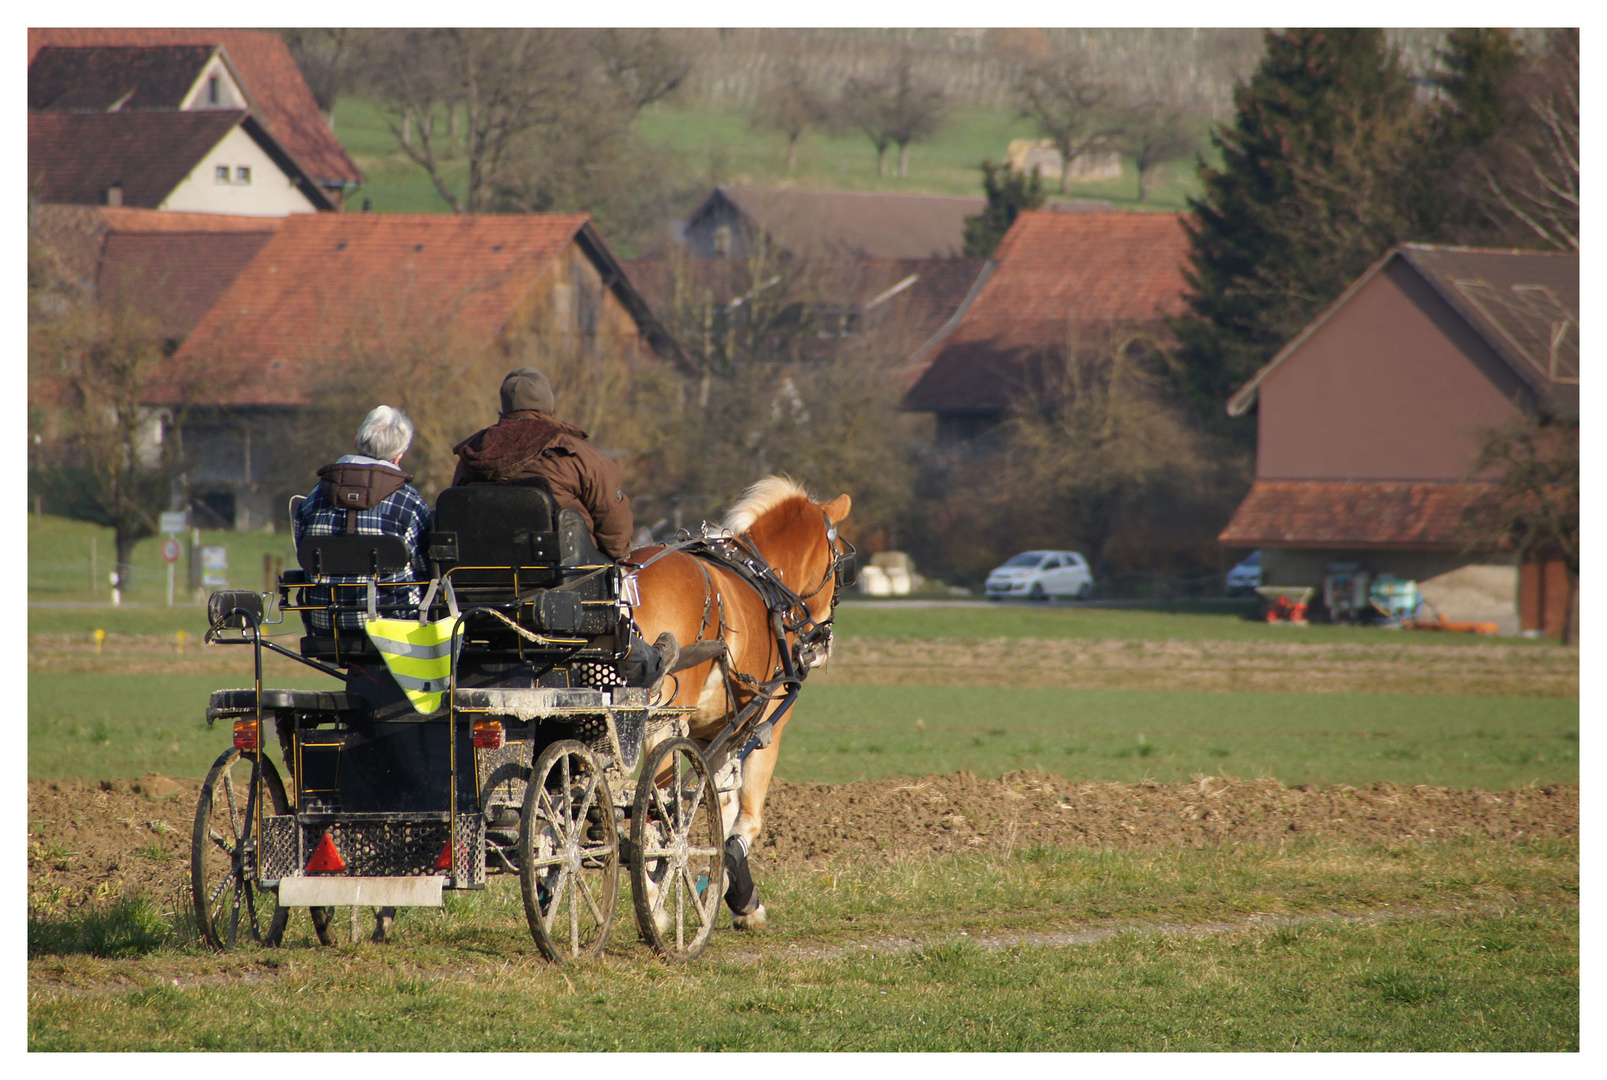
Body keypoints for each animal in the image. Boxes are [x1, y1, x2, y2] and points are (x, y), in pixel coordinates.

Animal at [626, 475, 854, 932]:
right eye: (838, 564)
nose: (822, 642)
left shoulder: (716, 733)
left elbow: (721, 802)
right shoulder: (764, 725)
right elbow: (744, 819)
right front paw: (741, 897)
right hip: (665, 721)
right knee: (656, 814)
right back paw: (655, 906)